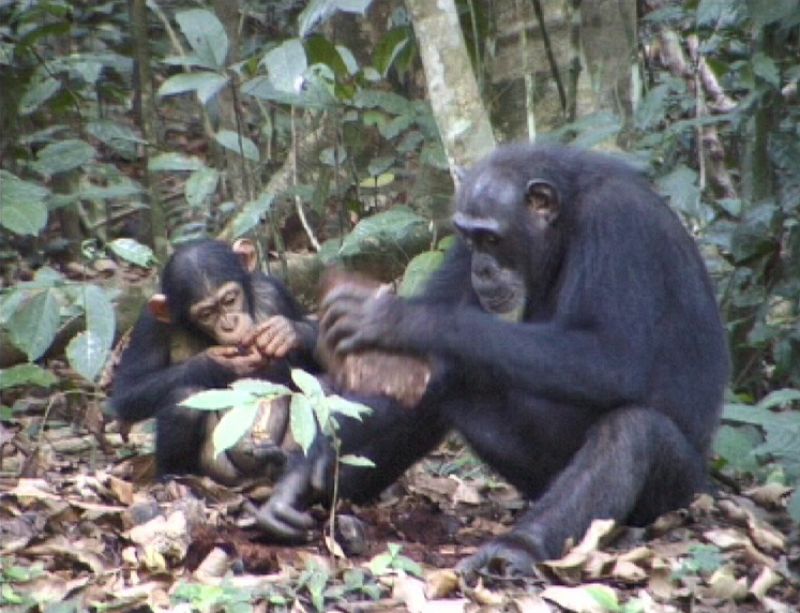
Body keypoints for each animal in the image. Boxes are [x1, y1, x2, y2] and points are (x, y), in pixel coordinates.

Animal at [112, 239, 318, 482]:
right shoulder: (150, 324)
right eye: (206, 314)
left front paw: (288, 331)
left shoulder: (275, 291)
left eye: (230, 299)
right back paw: (174, 478)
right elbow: (127, 391)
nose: (229, 324)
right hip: (216, 466)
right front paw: (217, 364)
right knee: (186, 398)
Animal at [253, 145, 728, 580]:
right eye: (471, 238)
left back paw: (517, 548)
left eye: (493, 238)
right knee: (437, 383)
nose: (481, 267)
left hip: (679, 493)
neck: (566, 221)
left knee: (631, 433)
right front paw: (299, 476)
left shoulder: (618, 224)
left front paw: (400, 319)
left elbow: (614, 356)